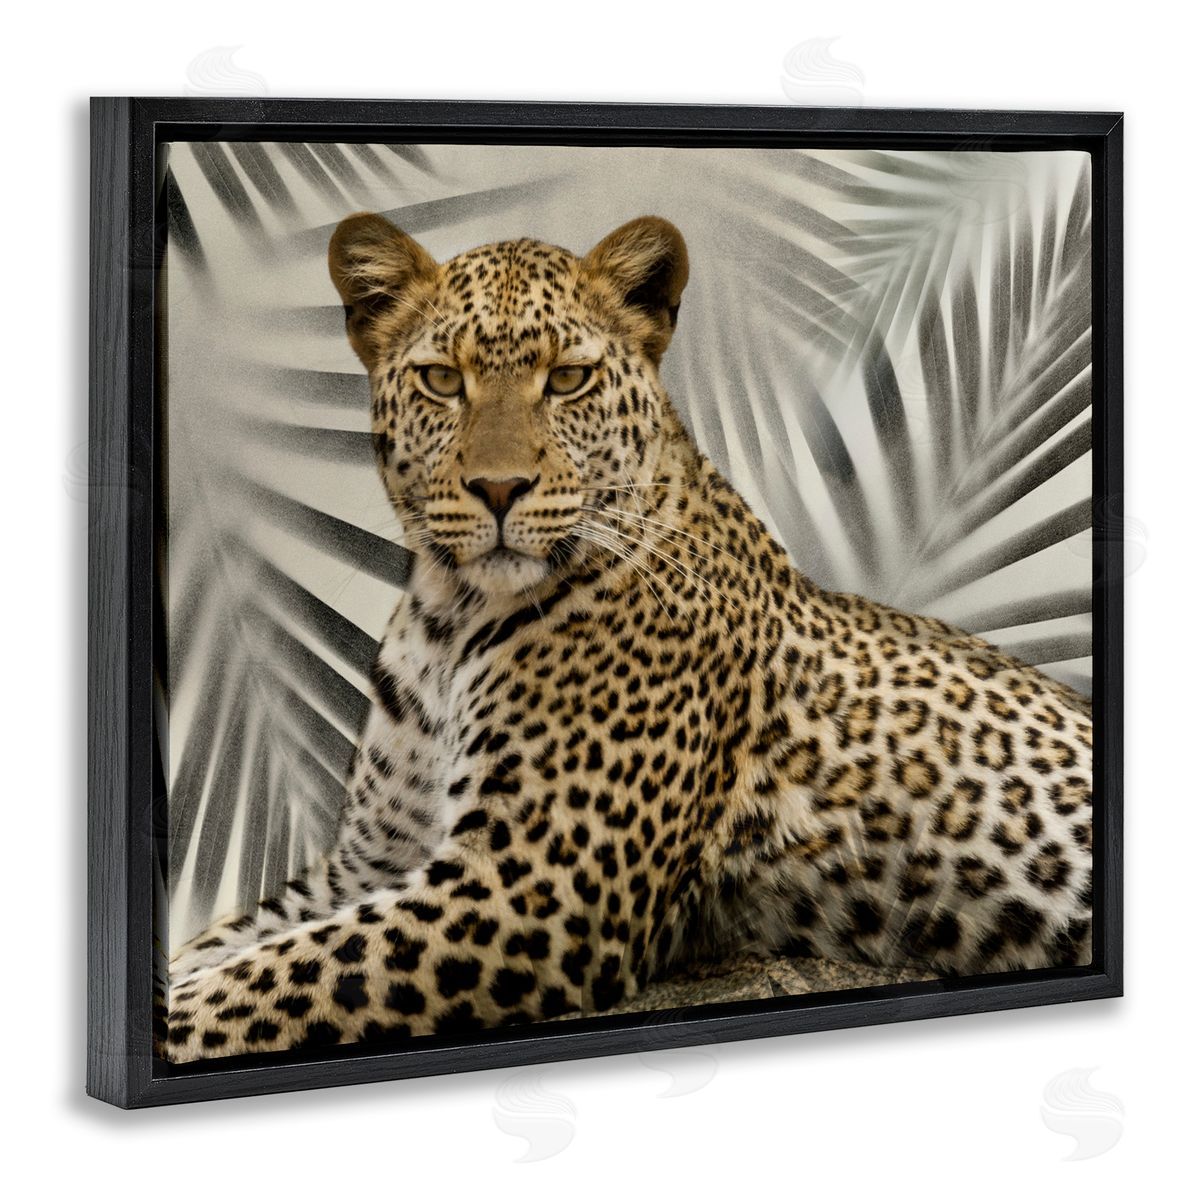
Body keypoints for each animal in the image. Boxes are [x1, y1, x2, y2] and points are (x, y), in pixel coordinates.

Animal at [163, 213, 1093, 1061]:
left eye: (569, 379)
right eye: (441, 379)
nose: (498, 488)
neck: (446, 617)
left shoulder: (530, 886)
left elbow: (252, 987)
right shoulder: (370, 865)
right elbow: (222, 950)